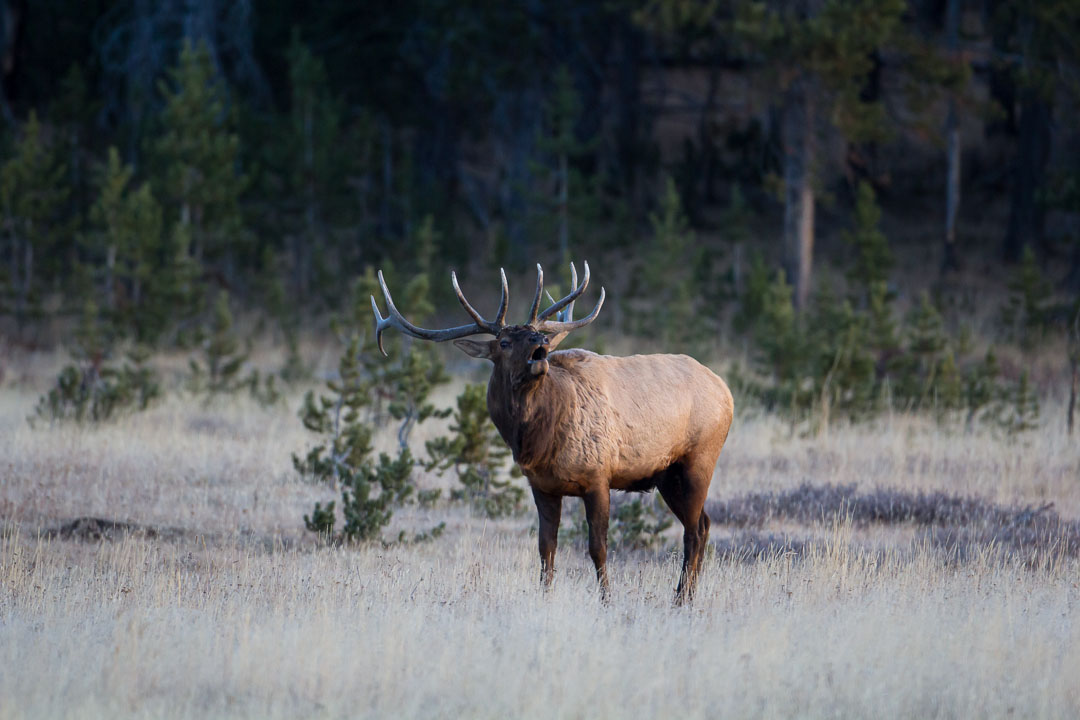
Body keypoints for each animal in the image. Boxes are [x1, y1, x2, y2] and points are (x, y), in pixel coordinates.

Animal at [371, 263, 734, 604]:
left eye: (535, 334)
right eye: (504, 342)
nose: (541, 344)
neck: (537, 443)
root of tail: (726, 391)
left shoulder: (599, 476)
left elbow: (597, 547)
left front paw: (606, 600)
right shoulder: (542, 486)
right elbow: (546, 548)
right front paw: (545, 597)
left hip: (699, 459)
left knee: (693, 532)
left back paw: (680, 599)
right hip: (666, 476)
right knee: (704, 524)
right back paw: (687, 596)